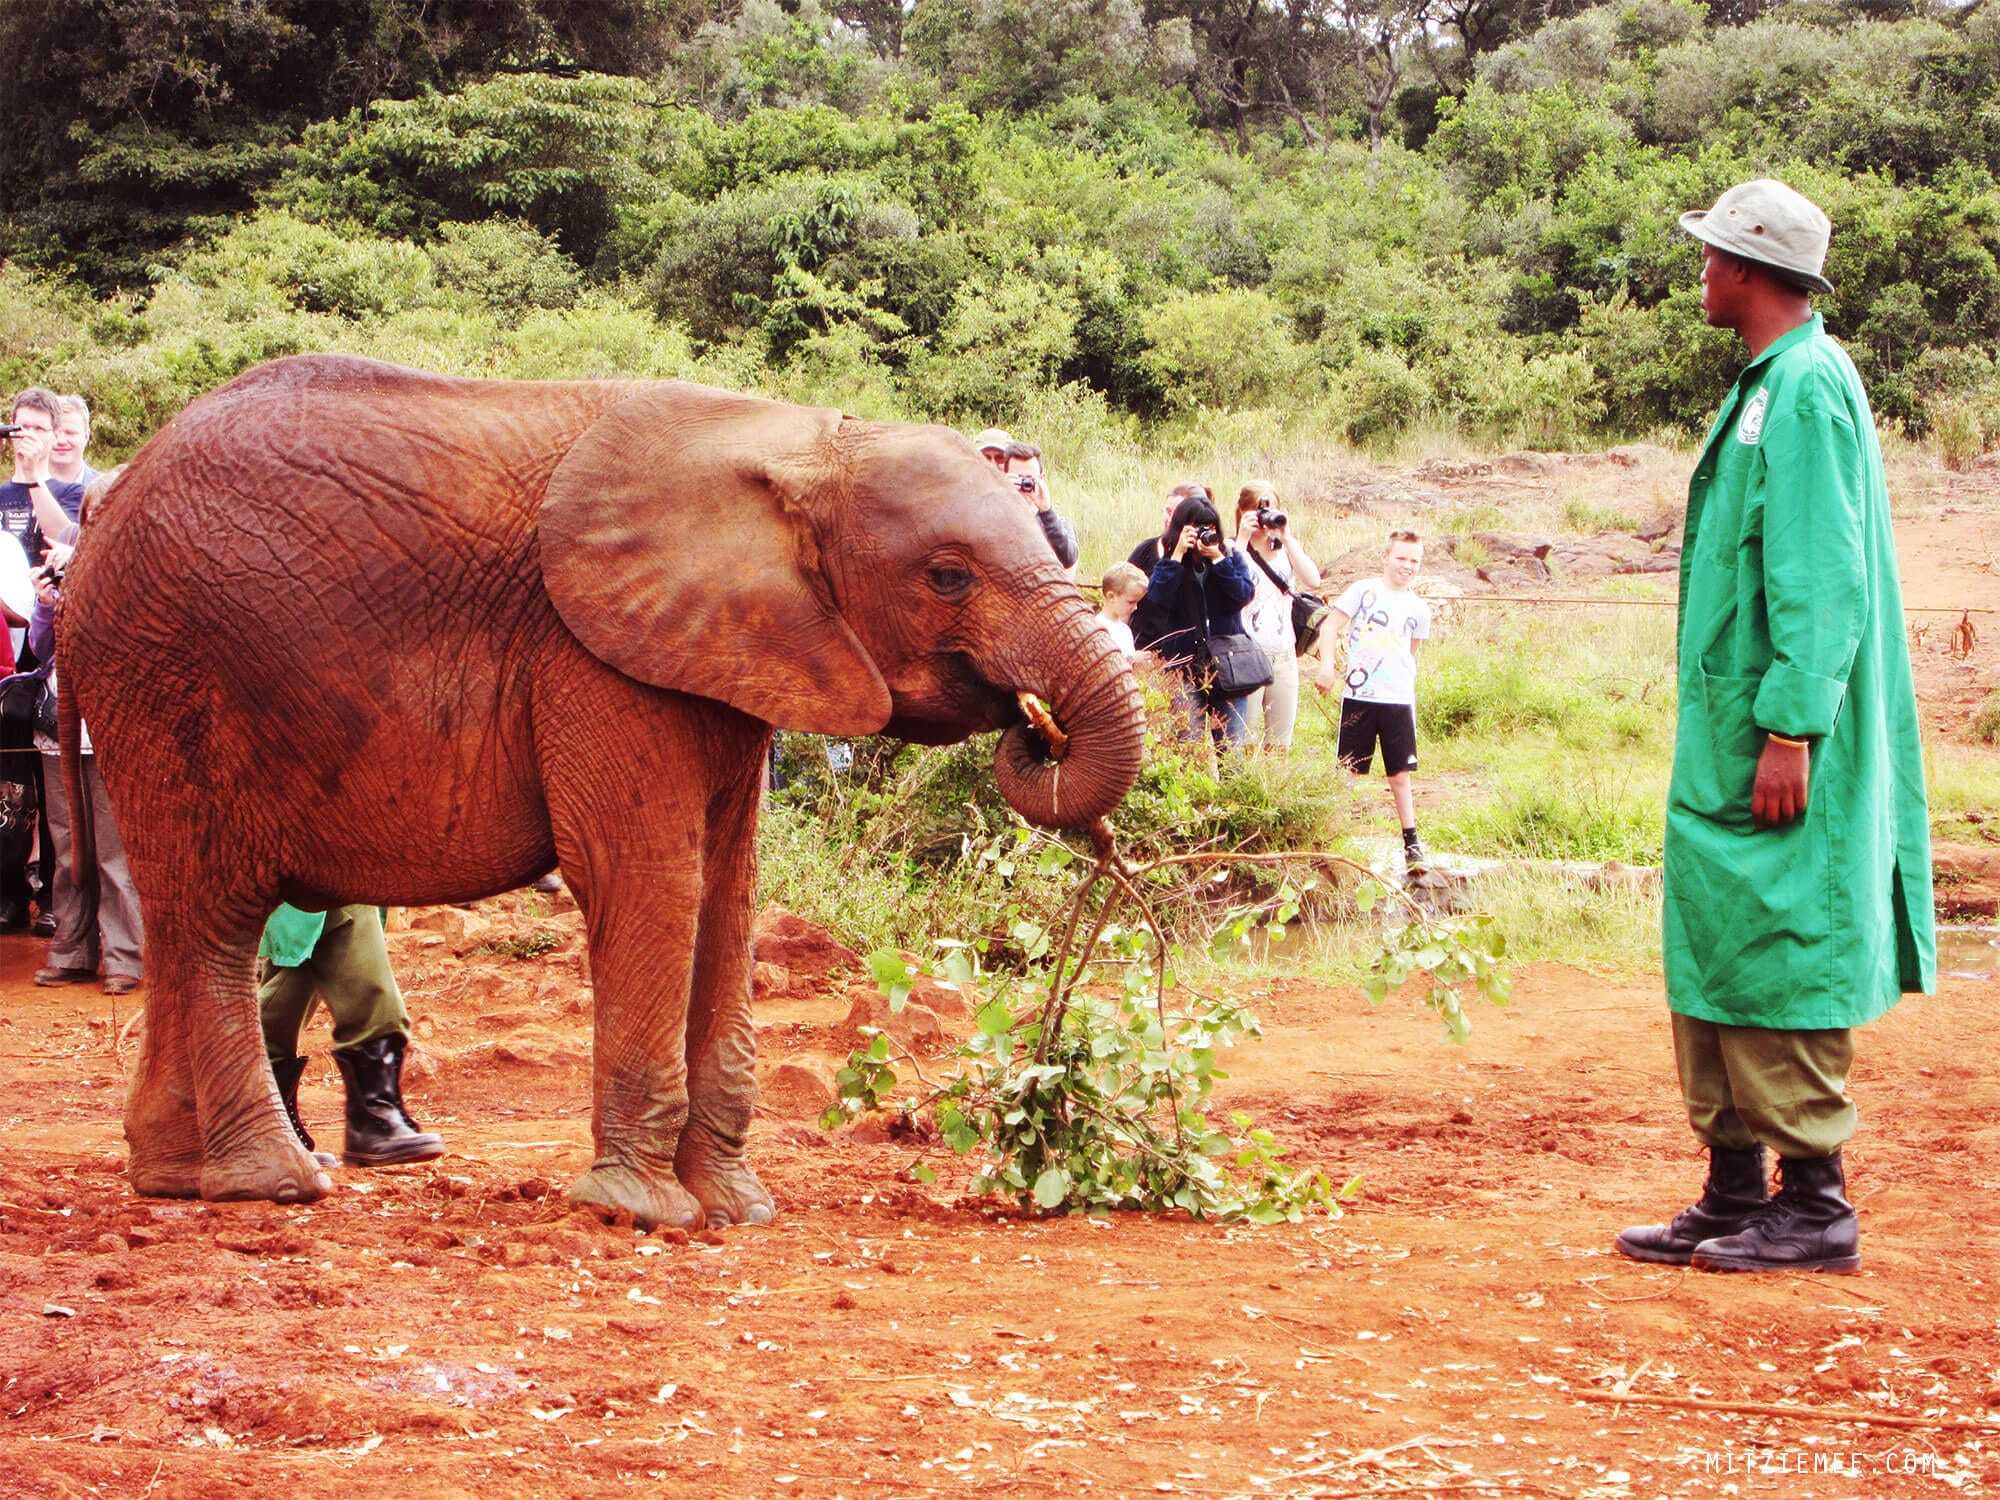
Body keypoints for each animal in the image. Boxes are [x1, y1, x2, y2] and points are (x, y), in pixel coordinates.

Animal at [60, 354, 1144, 1228]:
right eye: (948, 575)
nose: (1034, 726)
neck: (794, 440)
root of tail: (105, 504)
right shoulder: (593, 655)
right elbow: (648, 874)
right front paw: (638, 1211)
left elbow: (728, 891)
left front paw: (737, 1211)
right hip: (166, 673)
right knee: (214, 919)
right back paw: (274, 1184)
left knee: (183, 920)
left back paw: (173, 1179)